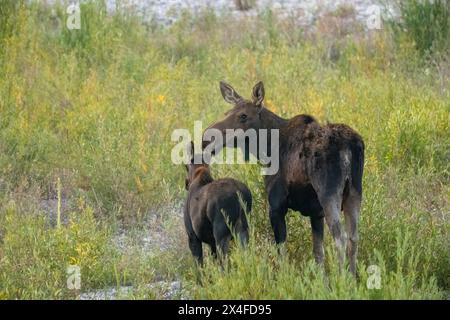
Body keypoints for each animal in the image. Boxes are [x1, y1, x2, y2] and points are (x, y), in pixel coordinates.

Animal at [202, 81, 364, 274]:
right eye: (226, 113)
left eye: (243, 116)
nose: (207, 137)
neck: (266, 150)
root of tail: (349, 147)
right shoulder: (316, 213)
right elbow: (318, 254)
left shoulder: (277, 206)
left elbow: (282, 253)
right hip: (354, 192)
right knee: (353, 238)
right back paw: (353, 277)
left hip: (329, 193)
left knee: (340, 237)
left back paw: (342, 278)